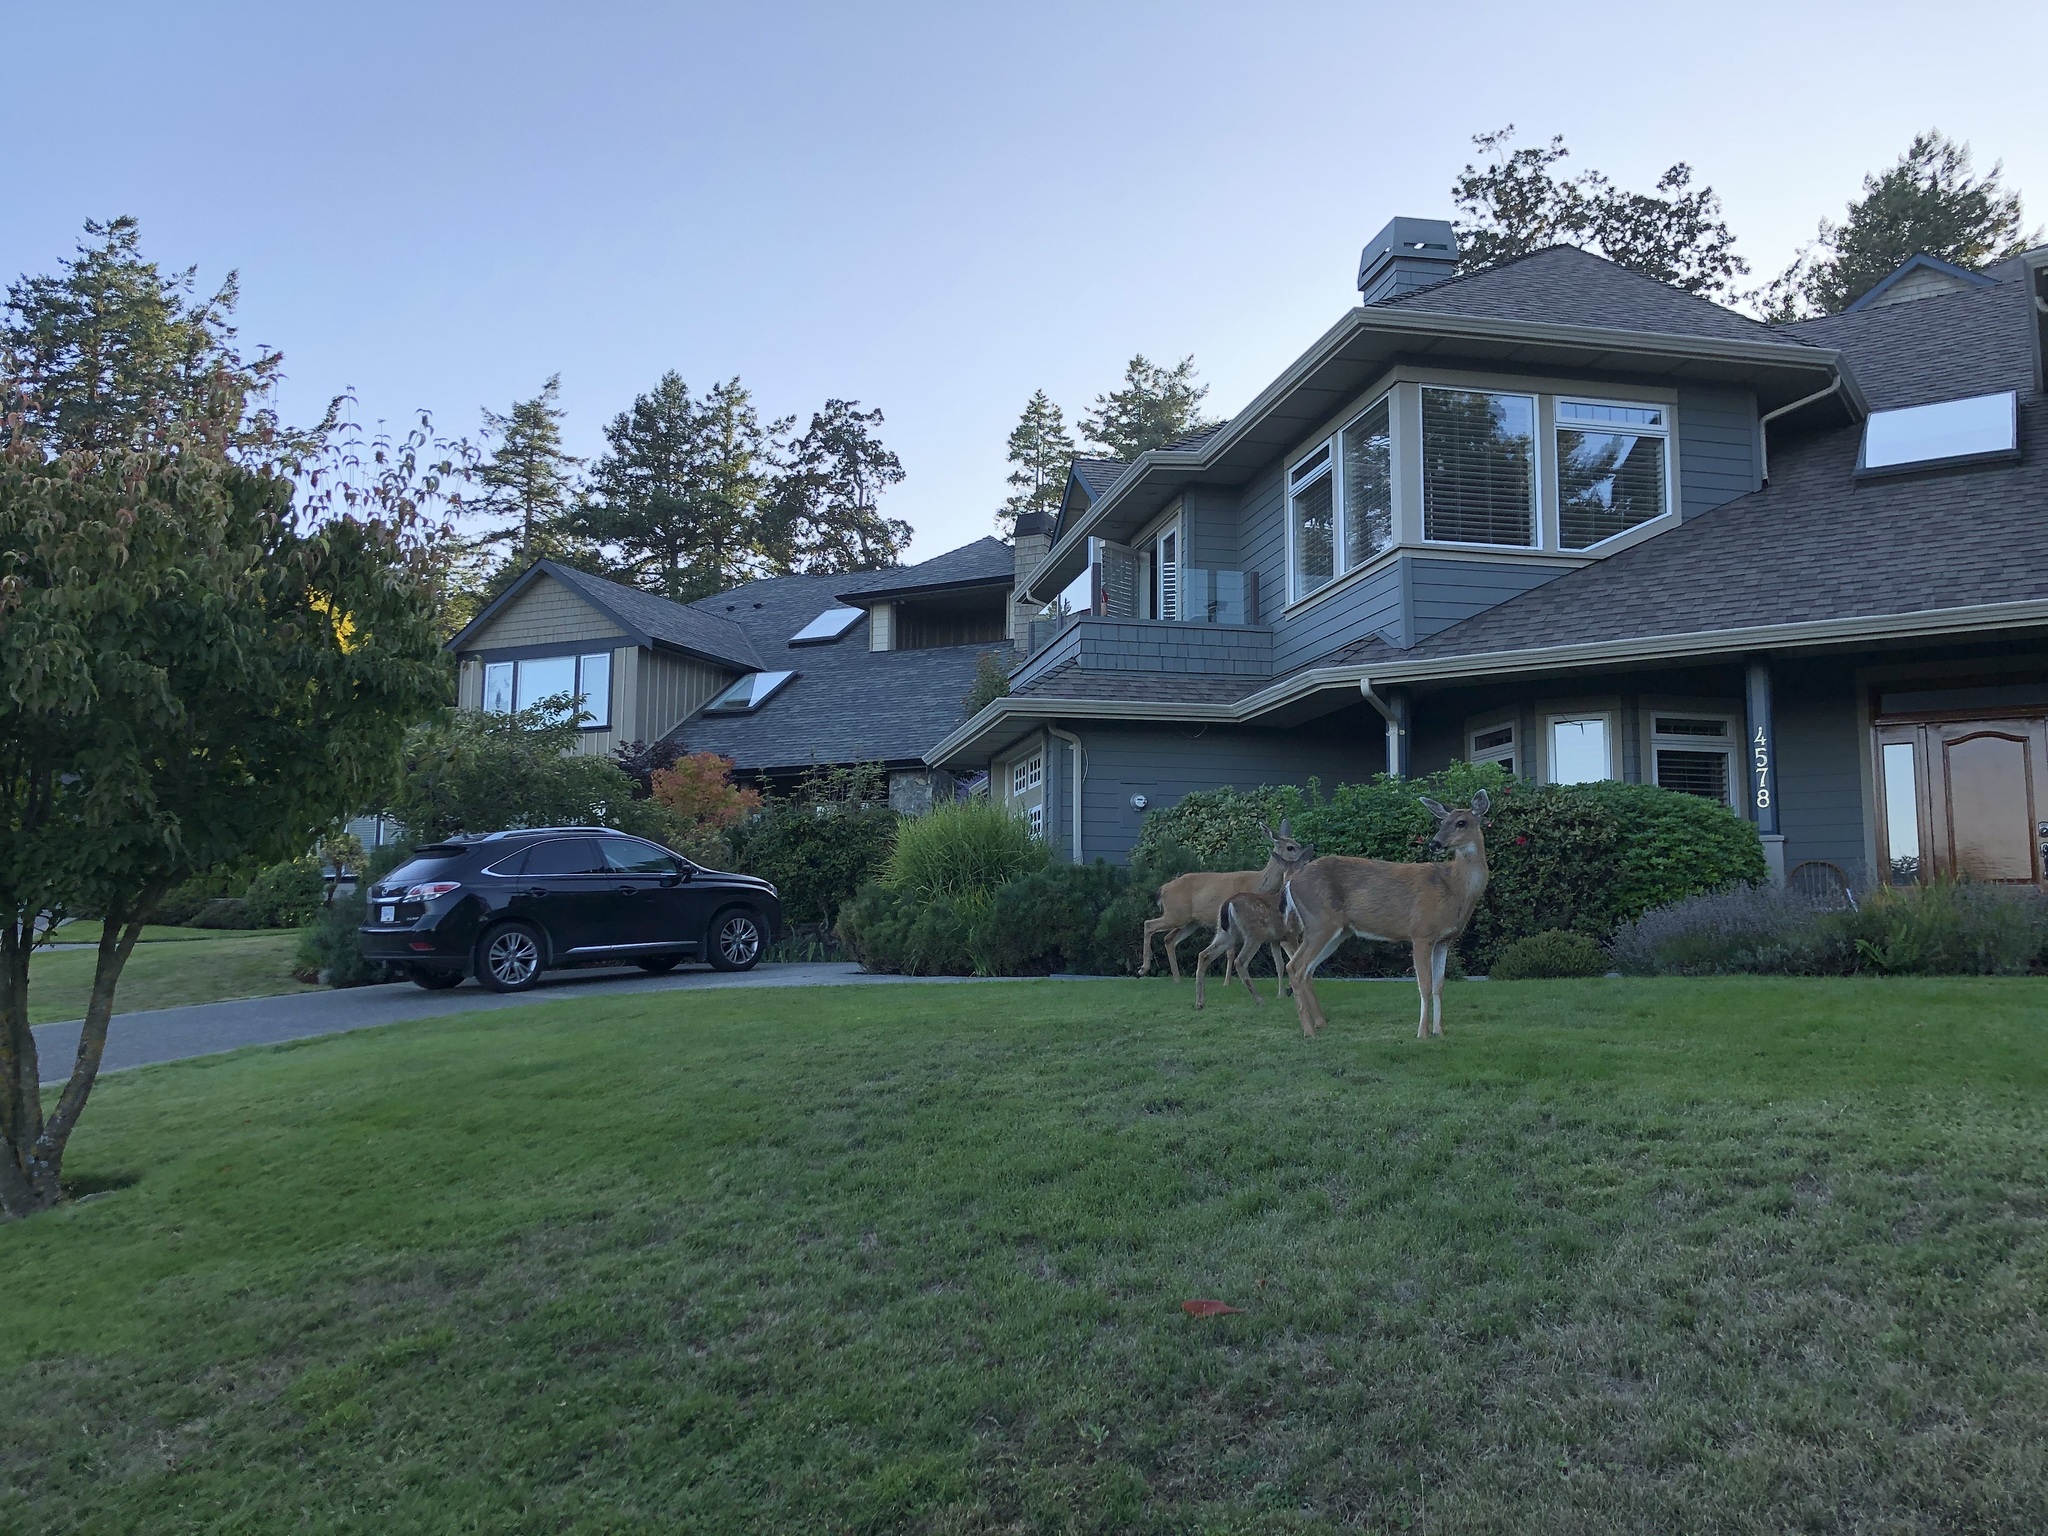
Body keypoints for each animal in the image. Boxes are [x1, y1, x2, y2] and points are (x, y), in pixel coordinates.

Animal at [1138, 819, 1310, 987]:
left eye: (1298, 844)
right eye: (1290, 847)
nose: (1307, 859)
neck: (1257, 883)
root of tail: (1162, 889)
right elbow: (1231, 952)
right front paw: (1227, 982)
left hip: (1191, 921)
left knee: (1169, 939)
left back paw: (1177, 979)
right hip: (1176, 914)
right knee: (1149, 924)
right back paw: (1144, 969)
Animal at [1196, 884, 1302, 1015]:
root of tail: (1228, 903)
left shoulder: (1275, 939)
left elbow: (1280, 965)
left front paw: (1282, 993)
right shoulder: (1291, 932)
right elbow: (1295, 960)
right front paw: (1291, 990)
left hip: (1227, 933)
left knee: (1204, 955)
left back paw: (1200, 1003)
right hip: (1255, 933)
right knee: (1240, 961)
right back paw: (1259, 1000)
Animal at [1277, 794, 1490, 1048]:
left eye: (1461, 823)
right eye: (1441, 822)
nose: (1435, 844)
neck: (1452, 888)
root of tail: (1290, 881)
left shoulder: (1444, 940)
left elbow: (1439, 985)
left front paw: (1439, 1031)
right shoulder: (1421, 932)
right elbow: (1425, 985)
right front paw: (1422, 1033)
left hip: (1338, 931)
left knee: (1307, 970)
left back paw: (1320, 1024)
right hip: (1319, 921)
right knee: (1295, 966)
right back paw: (1309, 1031)